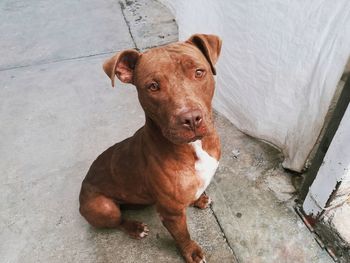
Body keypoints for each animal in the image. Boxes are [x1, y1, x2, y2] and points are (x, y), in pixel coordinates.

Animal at [79, 34, 221, 262]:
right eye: (153, 86)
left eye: (199, 72)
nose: (191, 119)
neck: (194, 147)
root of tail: (83, 185)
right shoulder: (171, 213)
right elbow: (183, 235)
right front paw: (191, 252)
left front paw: (198, 200)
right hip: (103, 207)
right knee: (118, 221)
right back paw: (135, 228)